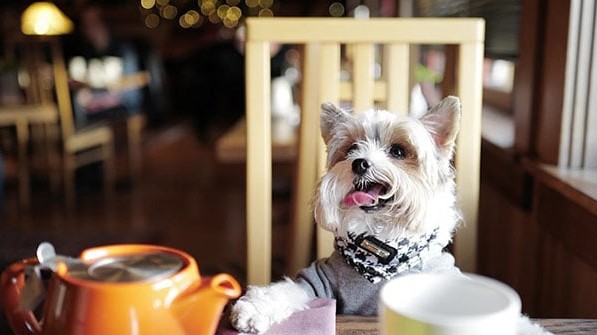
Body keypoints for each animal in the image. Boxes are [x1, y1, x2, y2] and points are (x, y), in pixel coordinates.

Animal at [229, 97, 548, 335]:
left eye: (398, 151)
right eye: (351, 149)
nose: (359, 163)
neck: (381, 245)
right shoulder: (317, 282)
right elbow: (285, 291)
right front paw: (253, 311)